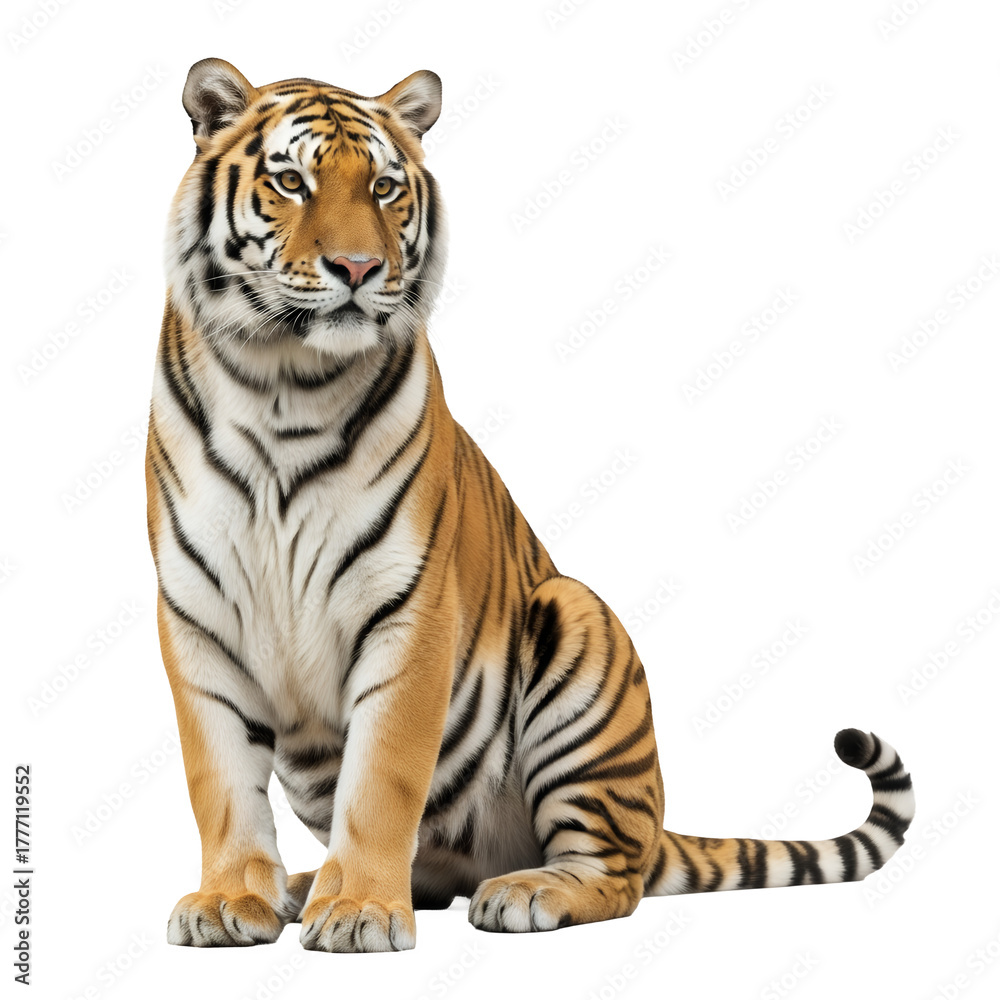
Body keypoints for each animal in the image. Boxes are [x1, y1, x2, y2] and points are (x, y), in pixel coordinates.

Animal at [146, 57, 916, 953]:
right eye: (291, 182)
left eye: (383, 187)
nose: (359, 269)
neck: (284, 384)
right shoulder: (196, 615)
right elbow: (220, 779)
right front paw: (231, 900)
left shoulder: (409, 609)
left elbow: (381, 780)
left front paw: (362, 911)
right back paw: (308, 886)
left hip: (575, 624)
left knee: (615, 875)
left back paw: (521, 891)